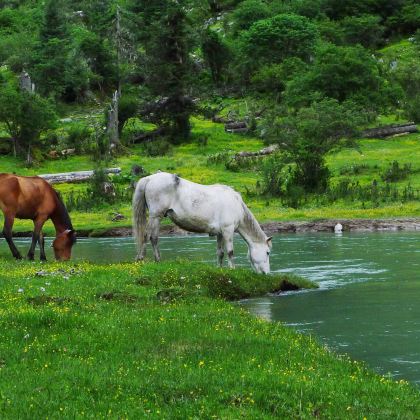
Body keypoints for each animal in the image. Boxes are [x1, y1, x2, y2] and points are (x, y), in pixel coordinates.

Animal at [133, 172, 274, 274]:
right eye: (267, 252)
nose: (266, 273)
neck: (236, 204)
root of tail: (149, 179)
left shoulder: (220, 233)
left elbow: (220, 253)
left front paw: (220, 268)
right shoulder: (228, 230)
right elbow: (230, 252)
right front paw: (232, 269)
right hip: (155, 217)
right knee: (149, 237)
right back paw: (147, 259)